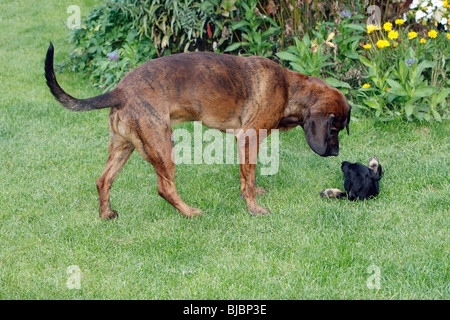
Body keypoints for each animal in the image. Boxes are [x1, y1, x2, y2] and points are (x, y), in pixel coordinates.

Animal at [44, 42, 352, 219]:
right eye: (334, 128)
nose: (336, 154)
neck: (288, 87)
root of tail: (119, 90)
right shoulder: (248, 138)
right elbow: (248, 177)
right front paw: (253, 209)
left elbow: (249, 177)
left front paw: (254, 193)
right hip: (162, 146)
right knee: (164, 188)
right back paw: (190, 212)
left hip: (125, 146)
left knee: (103, 180)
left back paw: (106, 214)